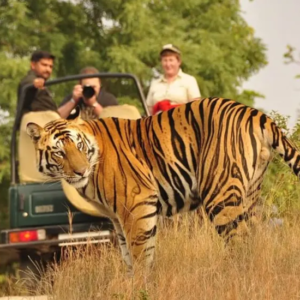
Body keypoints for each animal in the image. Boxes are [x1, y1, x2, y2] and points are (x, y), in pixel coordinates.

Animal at [25, 98, 300, 270]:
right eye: (59, 153)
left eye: (79, 145)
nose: (80, 170)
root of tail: (255, 113)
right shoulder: (117, 217)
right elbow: (128, 257)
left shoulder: (137, 203)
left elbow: (141, 256)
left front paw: (141, 287)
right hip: (250, 194)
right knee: (254, 238)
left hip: (220, 195)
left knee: (240, 242)